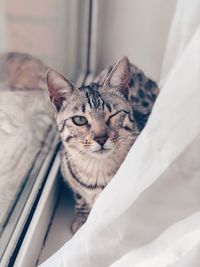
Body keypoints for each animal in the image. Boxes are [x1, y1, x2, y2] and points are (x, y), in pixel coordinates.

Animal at [46, 56, 159, 234]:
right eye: (79, 120)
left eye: (113, 115)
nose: (100, 138)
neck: (98, 171)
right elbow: (80, 196)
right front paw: (82, 216)